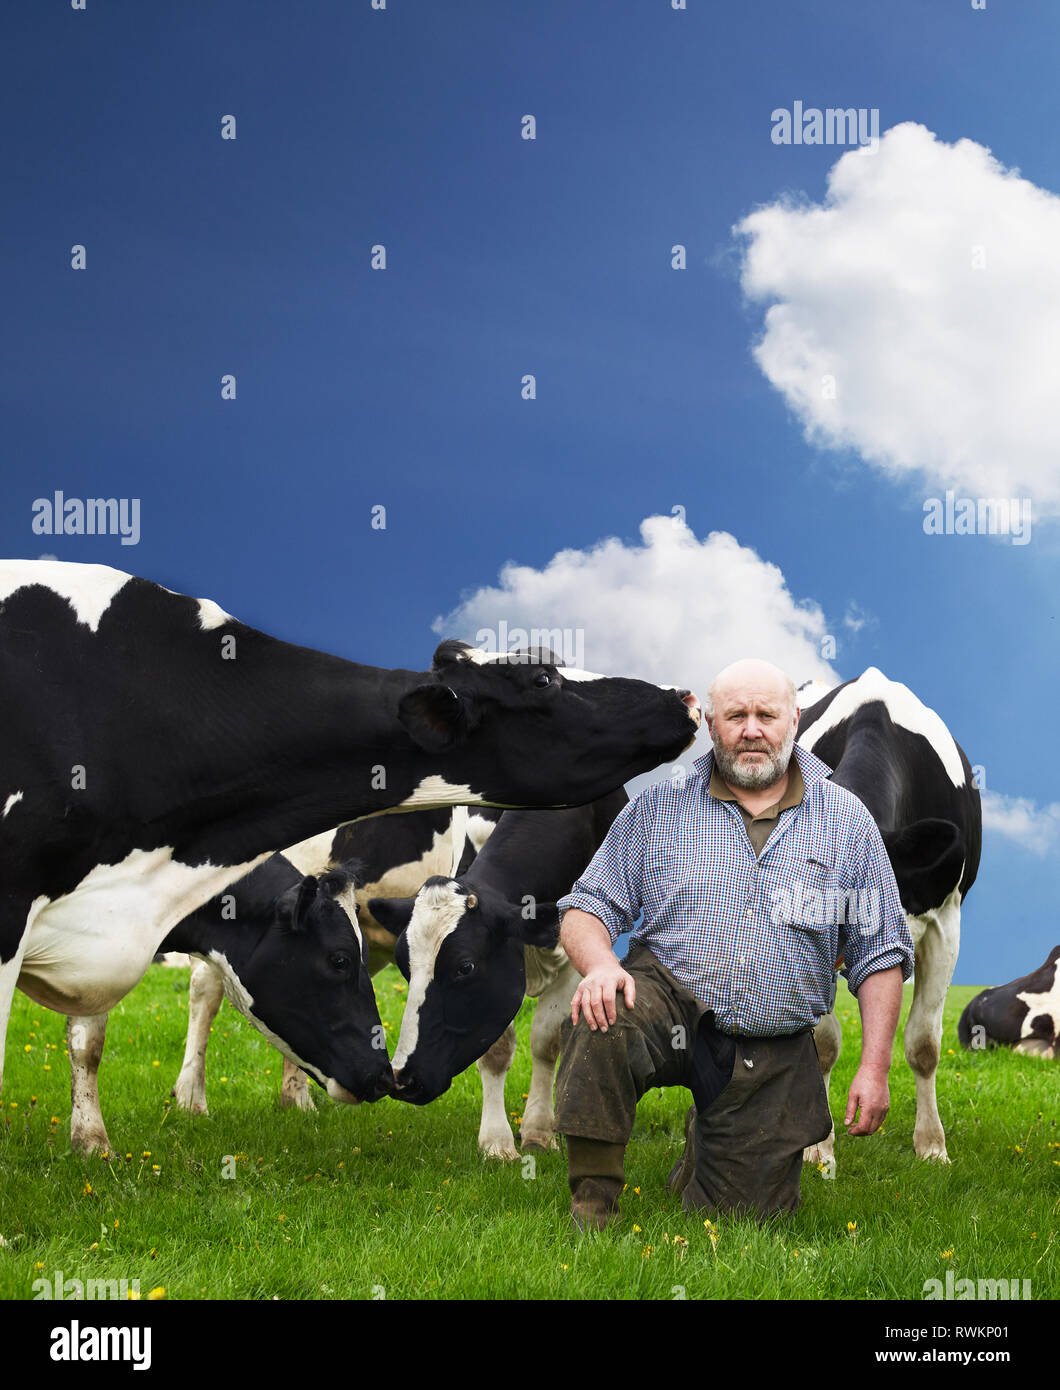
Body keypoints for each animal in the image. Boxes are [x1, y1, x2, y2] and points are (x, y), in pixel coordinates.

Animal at [372, 789, 630, 1156]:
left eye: (465, 967)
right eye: (404, 965)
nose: (402, 1078)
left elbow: (546, 1039)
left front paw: (539, 1130)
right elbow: (496, 1051)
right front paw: (497, 1142)